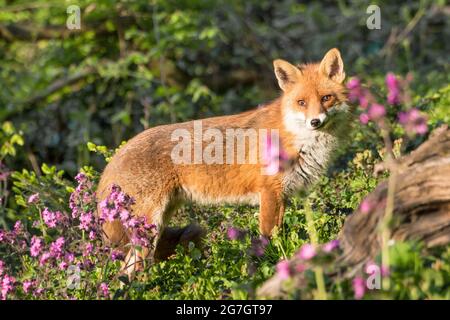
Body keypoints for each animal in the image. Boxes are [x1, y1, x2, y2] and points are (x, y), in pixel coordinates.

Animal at [96, 48, 354, 274]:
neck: (298, 140)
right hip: (149, 227)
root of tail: (115, 156)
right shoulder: (270, 192)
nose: (315, 122)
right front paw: (271, 264)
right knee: (131, 269)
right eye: (301, 103)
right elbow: (269, 238)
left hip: (161, 220)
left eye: (326, 98)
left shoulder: (284, 195)